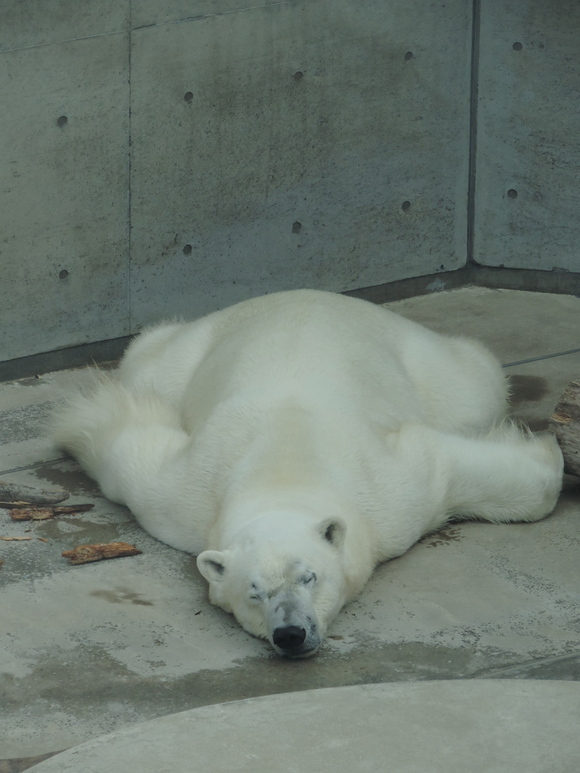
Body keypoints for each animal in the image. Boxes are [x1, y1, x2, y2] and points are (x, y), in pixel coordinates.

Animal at [53, 290, 560, 656]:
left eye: (309, 577)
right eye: (254, 592)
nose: (290, 634)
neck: (283, 470)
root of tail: (310, 293)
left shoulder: (391, 498)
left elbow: (440, 462)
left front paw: (549, 455)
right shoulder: (184, 501)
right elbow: (124, 449)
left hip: (429, 366)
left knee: (474, 385)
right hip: (184, 355)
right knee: (145, 360)